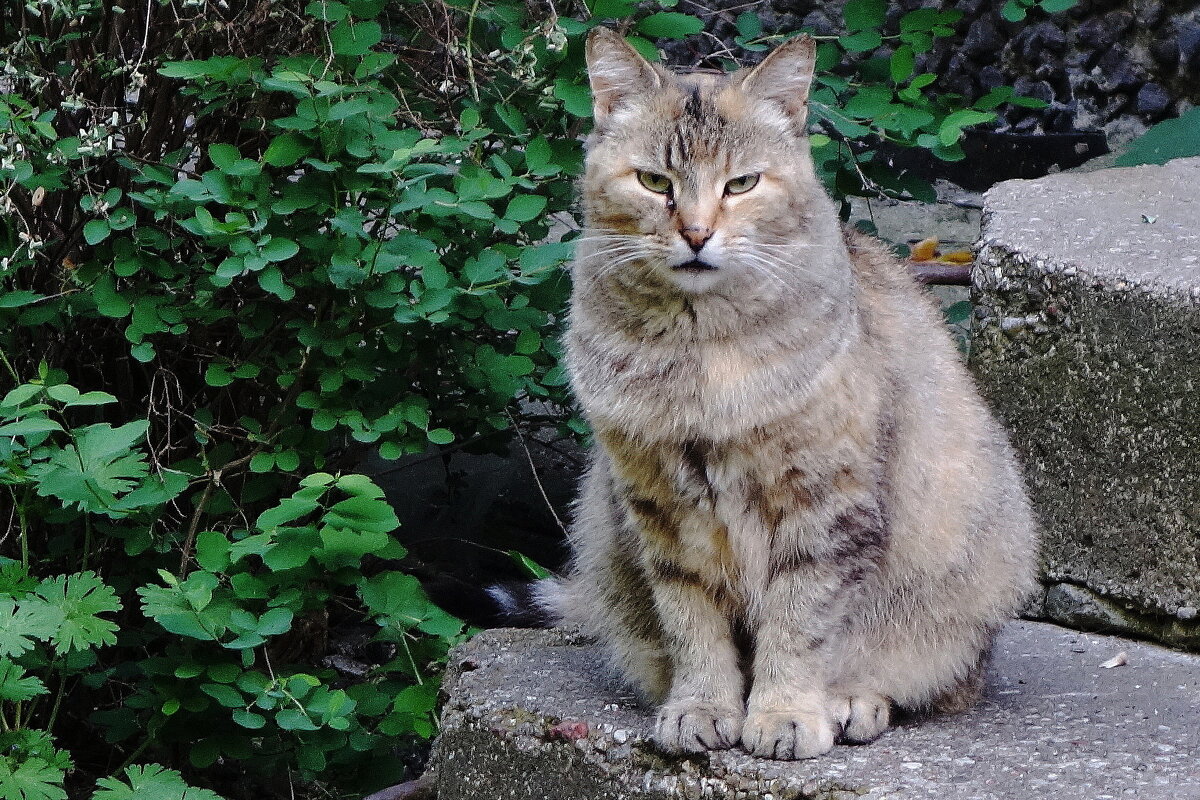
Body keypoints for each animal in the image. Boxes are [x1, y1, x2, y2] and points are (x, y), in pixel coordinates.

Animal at [547, 28, 1041, 762]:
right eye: (654, 181)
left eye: (743, 183)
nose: (697, 234)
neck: (699, 354)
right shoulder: (659, 507)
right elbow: (691, 622)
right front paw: (701, 706)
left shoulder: (822, 503)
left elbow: (799, 622)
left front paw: (785, 712)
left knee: (932, 679)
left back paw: (853, 701)